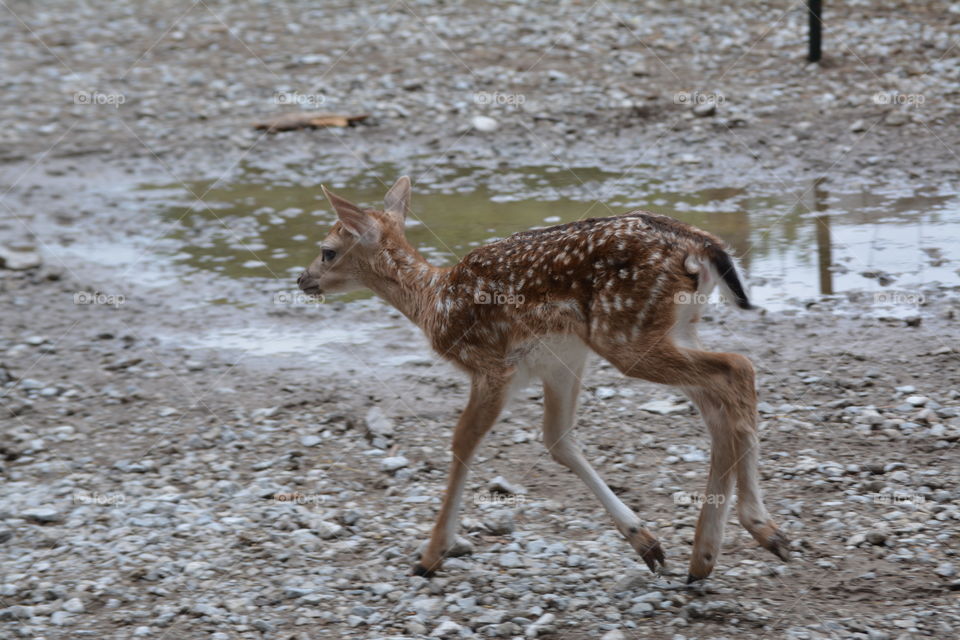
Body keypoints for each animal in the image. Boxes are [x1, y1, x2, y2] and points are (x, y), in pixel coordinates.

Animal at [297, 176, 791, 583]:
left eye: (327, 250)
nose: (302, 279)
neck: (434, 304)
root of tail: (700, 244)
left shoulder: (493, 365)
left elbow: (462, 442)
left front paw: (431, 554)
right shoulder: (559, 362)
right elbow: (557, 440)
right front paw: (646, 543)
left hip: (626, 335)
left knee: (737, 369)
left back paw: (760, 529)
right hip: (671, 329)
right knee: (719, 398)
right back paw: (709, 554)